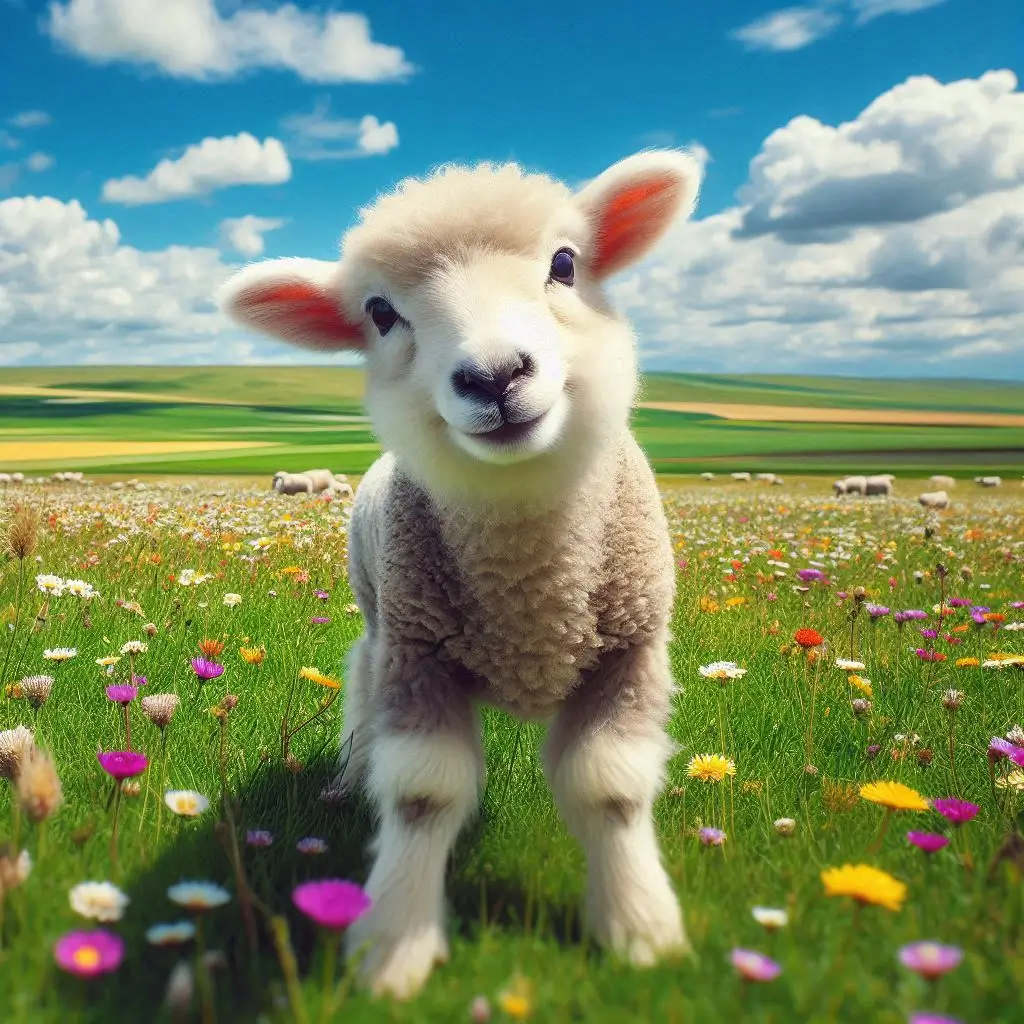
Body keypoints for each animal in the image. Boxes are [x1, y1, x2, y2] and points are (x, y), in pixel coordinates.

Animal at [219, 148, 703, 999]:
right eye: (381, 312)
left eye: (565, 264)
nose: (495, 376)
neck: (530, 591)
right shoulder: (419, 657)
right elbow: (422, 795)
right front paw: (392, 947)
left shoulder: (629, 653)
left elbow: (610, 791)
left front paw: (640, 928)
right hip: (379, 617)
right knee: (360, 678)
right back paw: (352, 773)